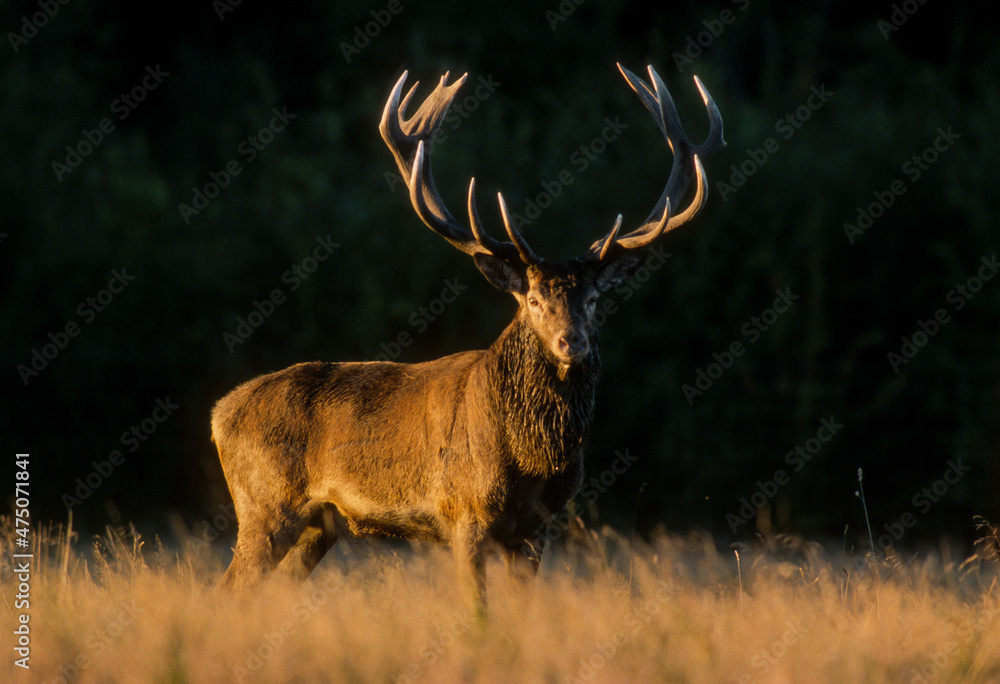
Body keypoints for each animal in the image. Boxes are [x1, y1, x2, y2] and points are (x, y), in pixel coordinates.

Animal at [211, 63, 724, 607]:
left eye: (592, 300)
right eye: (532, 300)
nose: (573, 342)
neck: (529, 463)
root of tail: (219, 414)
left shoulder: (537, 529)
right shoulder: (463, 511)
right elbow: (476, 610)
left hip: (318, 524)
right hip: (264, 504)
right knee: (228, 588)